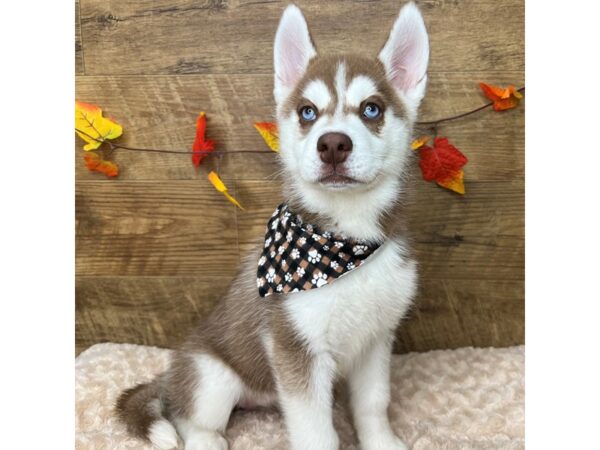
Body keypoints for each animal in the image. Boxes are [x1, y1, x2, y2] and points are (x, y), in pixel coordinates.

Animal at [115, 3, 428, 450]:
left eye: (371, 109)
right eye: (307, 112)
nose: (333, 144)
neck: (344, 238)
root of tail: (172, 374)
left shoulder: (376, 339)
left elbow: (373, 403)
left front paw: (381, 442)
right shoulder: (295, 346)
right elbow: (317, 431)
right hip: (212, 375)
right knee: (187, 416)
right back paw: (206, 440)